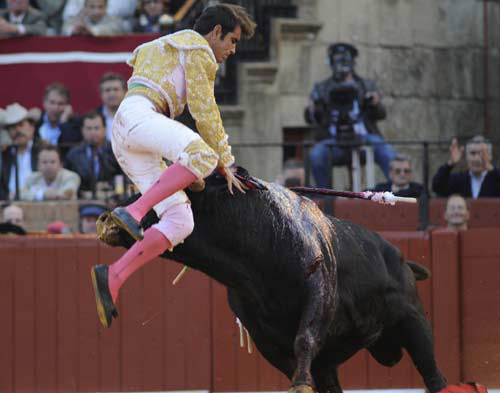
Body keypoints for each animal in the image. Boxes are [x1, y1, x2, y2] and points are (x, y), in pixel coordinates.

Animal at [96, 168, 446, 392]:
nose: (106, 218)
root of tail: (401, 259)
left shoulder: (319, 292)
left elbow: (305, 338)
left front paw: (300, 385)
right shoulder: (262, 334)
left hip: (415, 322)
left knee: (434, 376)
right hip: (338, 360)